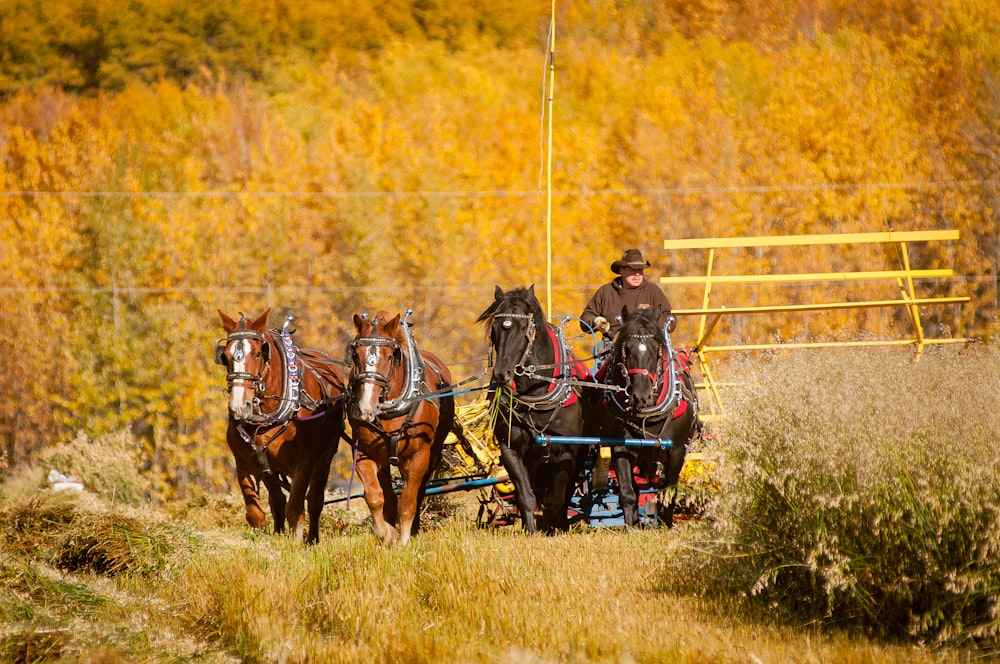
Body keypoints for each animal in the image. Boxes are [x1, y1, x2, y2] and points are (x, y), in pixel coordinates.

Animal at [215, 308, 348, 544]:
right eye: (226, 356)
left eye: (257, 354)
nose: (240, 406)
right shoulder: (246, 462)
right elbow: (257, 512)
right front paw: (271, 538)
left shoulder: (304, 464)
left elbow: (295, 508)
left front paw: (296, 543)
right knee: (277, 500)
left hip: (324, 459)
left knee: (315, 500)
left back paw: (312, 539)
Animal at [344, 308, 454, 548]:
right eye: (356, 355)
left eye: (389, 356)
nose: (365, 408)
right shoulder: (363, 453)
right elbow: (375, 496)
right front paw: (386, 533)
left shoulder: (419, 456)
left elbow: (408, 501)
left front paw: (404, 541)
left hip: (431, 453)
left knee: (417, 492)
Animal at [476, 286, 592, 536]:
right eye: (495, 328)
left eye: (523, 329)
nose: (501, 374)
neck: (534, 395)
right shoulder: (510, 448)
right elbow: (526, 496)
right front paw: (531, 531)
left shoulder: (567, 455)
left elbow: (556, 500)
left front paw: (552, 529)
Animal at [592, 304, 704, 528]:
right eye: (626, 349)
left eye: (657, 350)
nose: (640, 396)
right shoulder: (619, 448)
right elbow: (628, 492)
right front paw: (631, 527)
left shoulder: (677, 451)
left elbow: (668, 491)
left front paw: (666, 525)